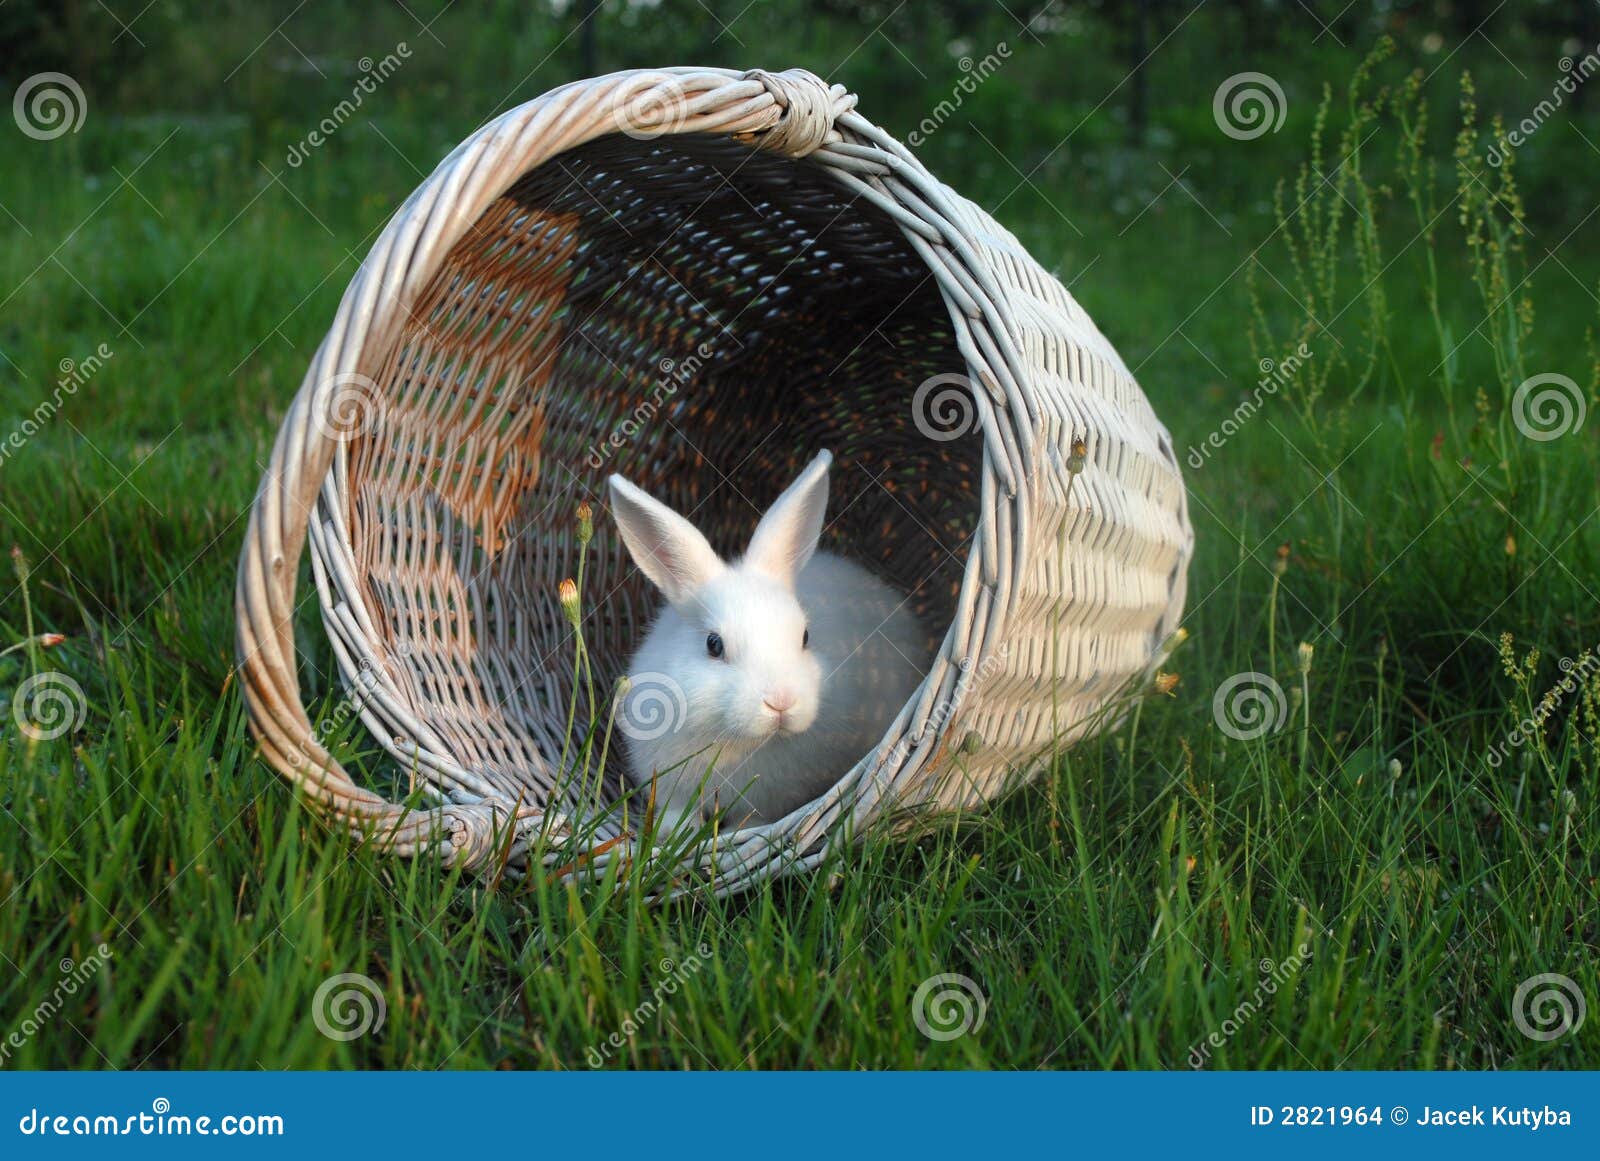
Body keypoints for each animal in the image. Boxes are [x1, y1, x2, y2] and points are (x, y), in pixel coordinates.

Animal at [607, 450, 931, 833]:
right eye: (714, 645)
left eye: (805, 637)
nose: (781, 702)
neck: (739, 739)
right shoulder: (671, 785)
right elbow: (675, 811)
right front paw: (674, 833)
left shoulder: (765, 804)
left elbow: (751, 822)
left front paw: (735, 836)